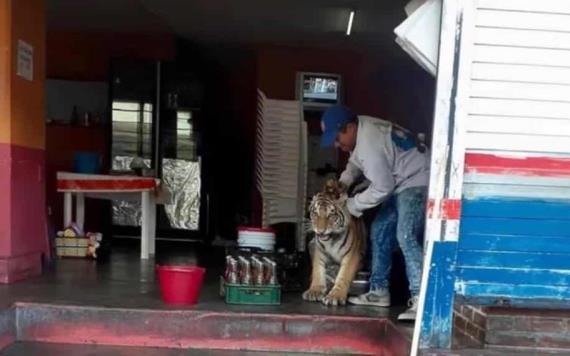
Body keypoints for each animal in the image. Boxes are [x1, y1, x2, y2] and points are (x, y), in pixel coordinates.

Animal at [302, 178, 364, 306]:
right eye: (315, 213)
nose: (320, 231)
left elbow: (344, 276)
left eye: (331, 215)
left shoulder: (352, 256)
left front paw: (335, 296)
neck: (331, 241)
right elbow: (317, 271)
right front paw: (315, 291)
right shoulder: (318, 252)